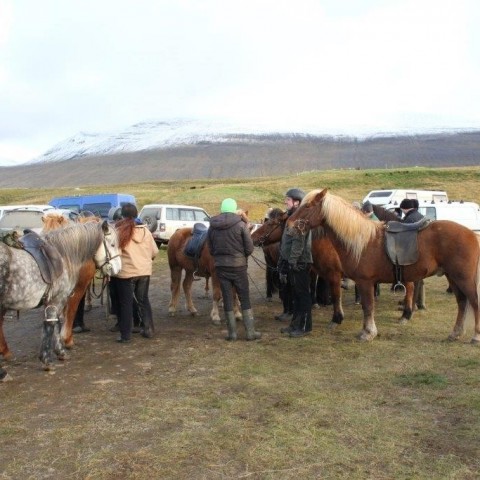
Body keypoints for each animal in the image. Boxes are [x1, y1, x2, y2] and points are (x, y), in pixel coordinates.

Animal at [284, 188, 480, 342]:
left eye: (307, 206)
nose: (289, 225)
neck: (360, 241)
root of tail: (471, 233)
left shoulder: (364, 282)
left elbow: (368, 306)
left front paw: (368, 333)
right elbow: (366, 306)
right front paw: (366, 330)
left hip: (463, 278)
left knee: (473, 301)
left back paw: (475, 336)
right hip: (452, 277)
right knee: (462, 302)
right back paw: (455, 333)